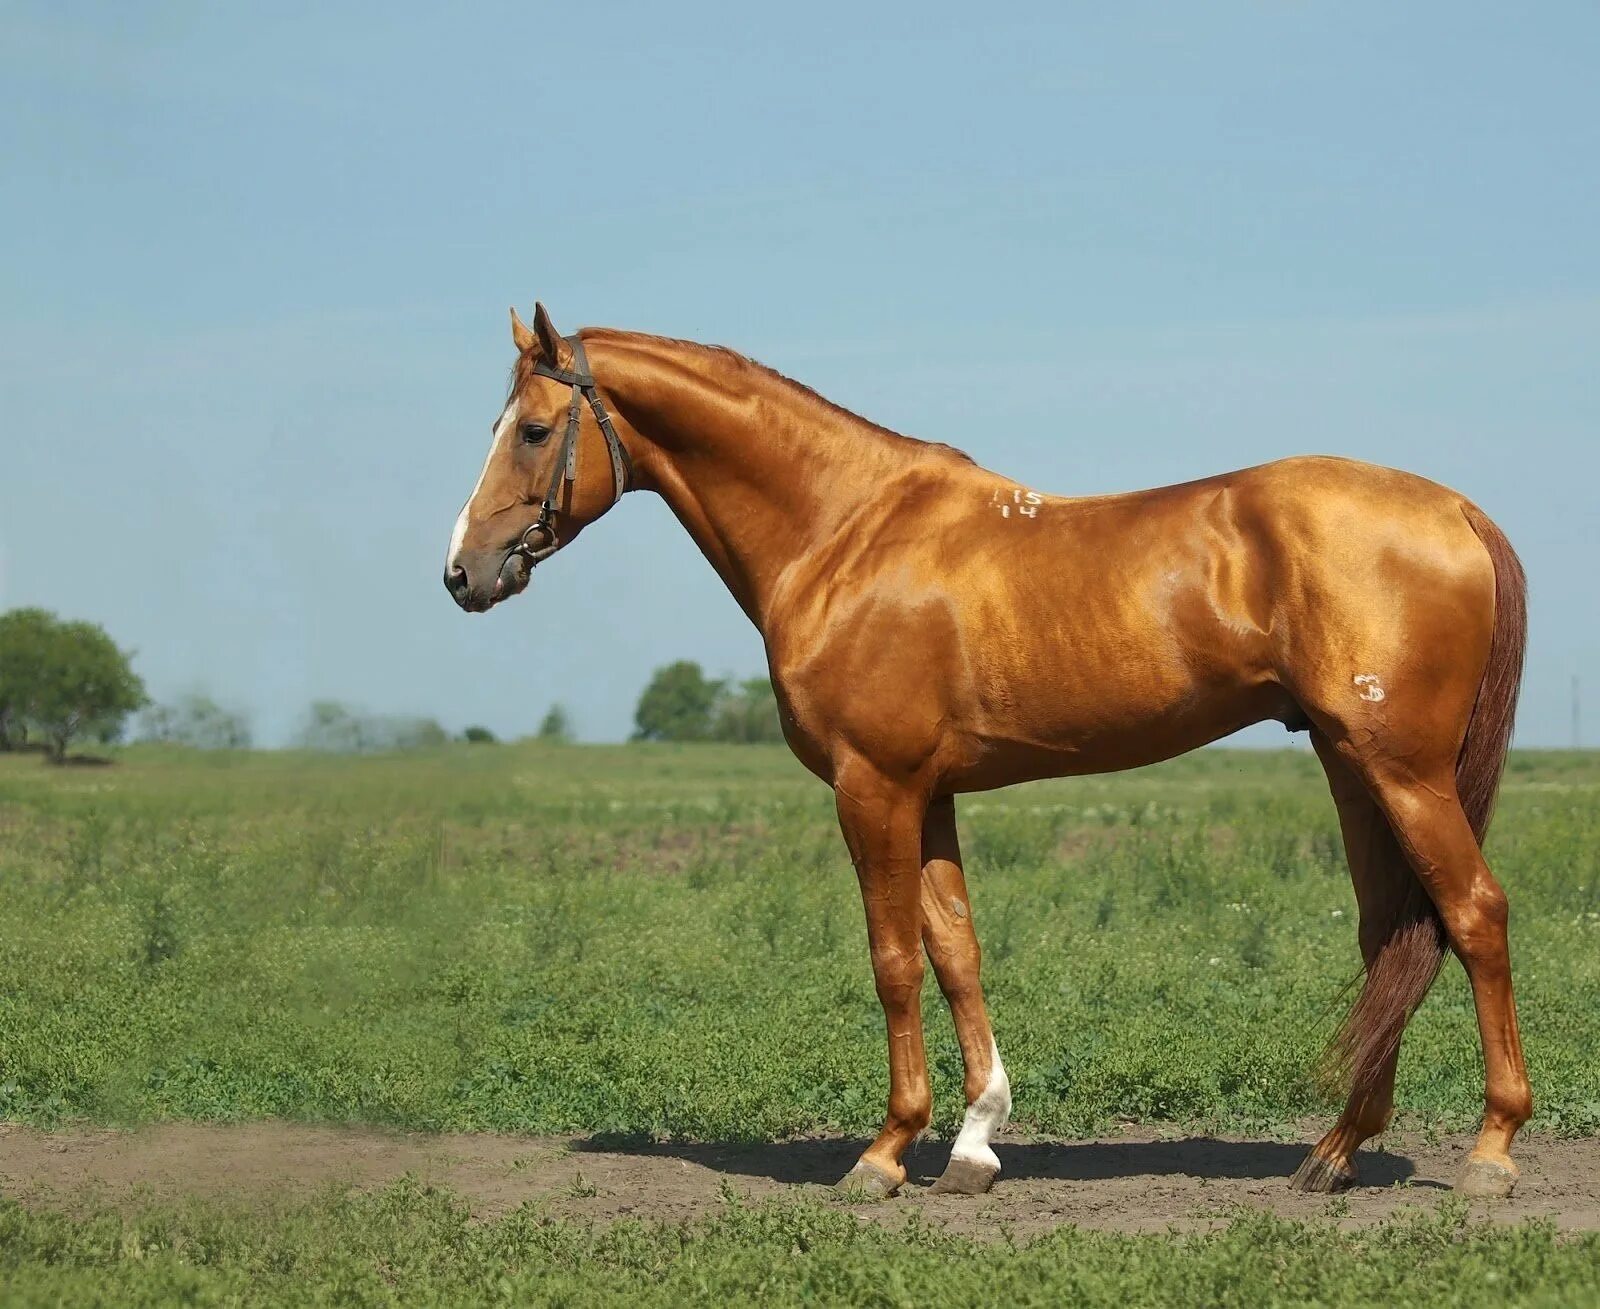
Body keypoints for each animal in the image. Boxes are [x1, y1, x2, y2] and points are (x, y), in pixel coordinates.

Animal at [444, 304, 1529, 1190]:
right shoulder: (929, 794)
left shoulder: (871, 786)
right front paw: (973, 1141)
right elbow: (956, 949)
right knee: (1390, 937)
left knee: (1475, 915)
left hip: (1402, 772)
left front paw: (885, 1152)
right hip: (1351, 768)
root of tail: (1457, 510)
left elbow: (892, 958)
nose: (462, 571)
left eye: (533, 429)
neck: (844, 530)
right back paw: (1333, 1153)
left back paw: (1490, 1150)